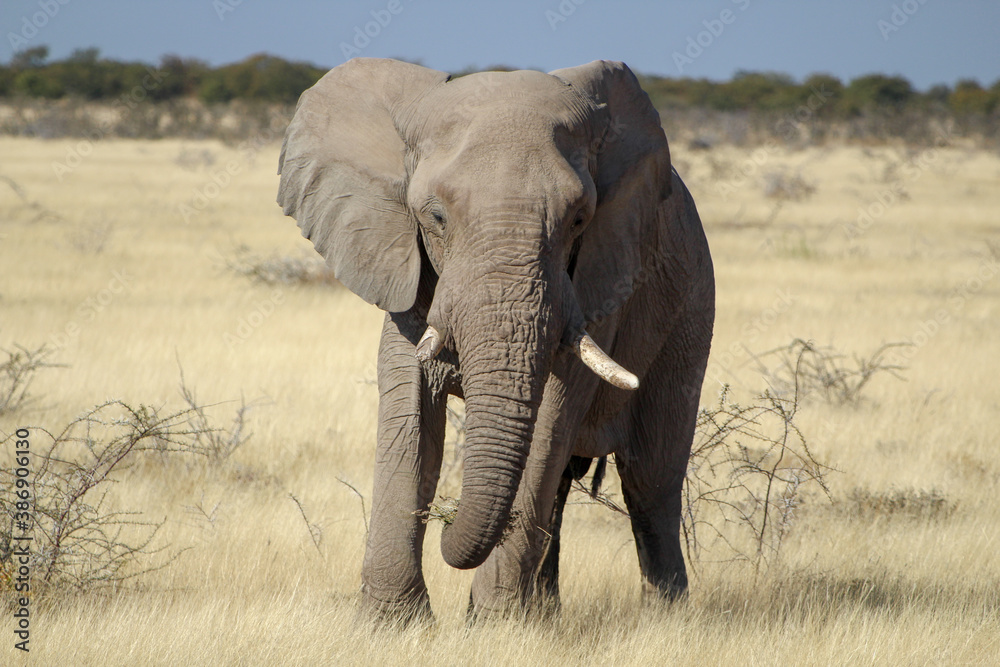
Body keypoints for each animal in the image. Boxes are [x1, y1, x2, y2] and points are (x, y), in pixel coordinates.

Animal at [276, 57, 714, 621]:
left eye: (579, 219)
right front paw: (391, 623)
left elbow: (551, 417)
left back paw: (665, 616)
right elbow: (408, 404)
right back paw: (545, 613)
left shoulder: (592, 283)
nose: (447, 521)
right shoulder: (405, 264)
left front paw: (492, 624)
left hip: (691, 309)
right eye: (435, 216)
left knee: (650, 479)